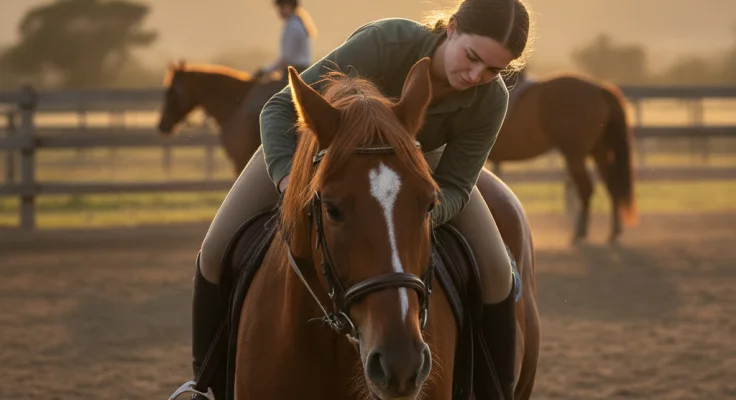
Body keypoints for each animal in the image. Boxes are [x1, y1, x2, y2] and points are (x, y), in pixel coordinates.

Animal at [490, 70, 638, 243]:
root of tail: (599, 88)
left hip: (575, 155)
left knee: (586, 188)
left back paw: (580, 232)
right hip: (598, 151)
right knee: (612, 186)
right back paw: (614, 232)